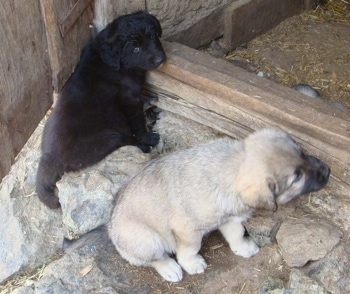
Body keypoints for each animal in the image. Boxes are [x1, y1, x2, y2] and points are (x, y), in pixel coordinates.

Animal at [36, 12, 166, 209]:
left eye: (152, 36)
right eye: (135, 49)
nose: (159, 59)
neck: (113, 63)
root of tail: (48, 158)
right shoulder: (130, 100)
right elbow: (138, 122)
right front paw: (148, 137)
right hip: (110, 137)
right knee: (125, 139)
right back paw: (143, 146)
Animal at [108, 127, 330, 282]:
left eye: (302, 153)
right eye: (297, 177)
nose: (328, 171)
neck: (232, 169)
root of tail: (110, 227)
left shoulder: (229, 217)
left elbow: (236, 233)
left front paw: (243, 248)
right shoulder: (187, 231)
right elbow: (189, 249)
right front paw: (192, 264)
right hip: (146, 239)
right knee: (154, 259)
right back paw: (170, 268)